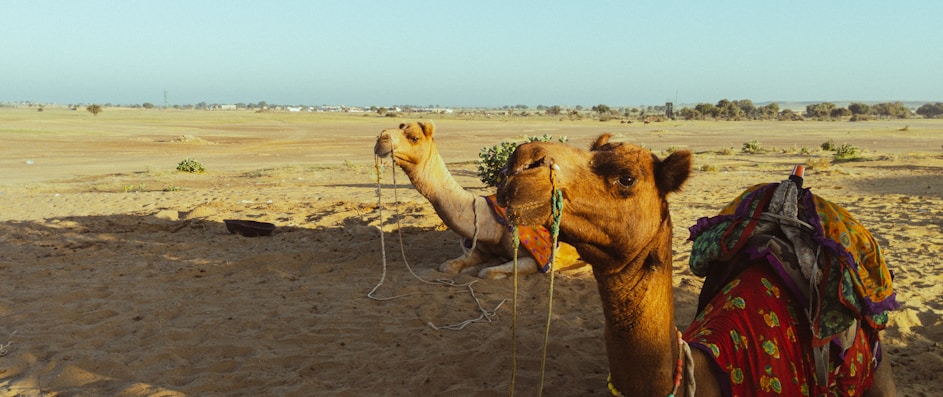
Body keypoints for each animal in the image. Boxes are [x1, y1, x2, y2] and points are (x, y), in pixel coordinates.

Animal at [372, 120, 580, 278]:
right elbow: (446, 266)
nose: (381, 139)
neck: (493, 221)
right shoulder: (479, 248)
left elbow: (486, 272)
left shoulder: (536, 259)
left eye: (414, 137)